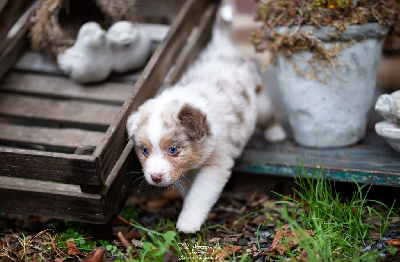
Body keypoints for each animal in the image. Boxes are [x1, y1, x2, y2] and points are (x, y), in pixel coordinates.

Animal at [126, 26, 284, 233]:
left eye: (173, 149)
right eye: (144, 151)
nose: (155, 177)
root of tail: (221, 46)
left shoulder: (216, 164)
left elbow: (199, 195)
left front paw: (189, 222)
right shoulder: (183, 173)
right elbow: (189, 192)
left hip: (261, 102)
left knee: (268, 114)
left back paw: (275, 132)